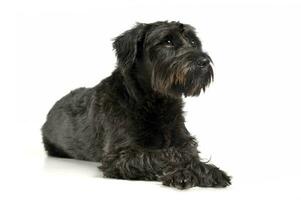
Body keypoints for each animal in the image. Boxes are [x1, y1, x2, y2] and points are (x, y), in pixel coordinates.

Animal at [41, 20, 230, 189]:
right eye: (168, 42)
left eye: (193, 42)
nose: (204, 61)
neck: (157, 104)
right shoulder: (119, 156)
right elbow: (167, 155)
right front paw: (184, 172)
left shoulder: (183, 139)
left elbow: (188, 151)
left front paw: (207, 170)